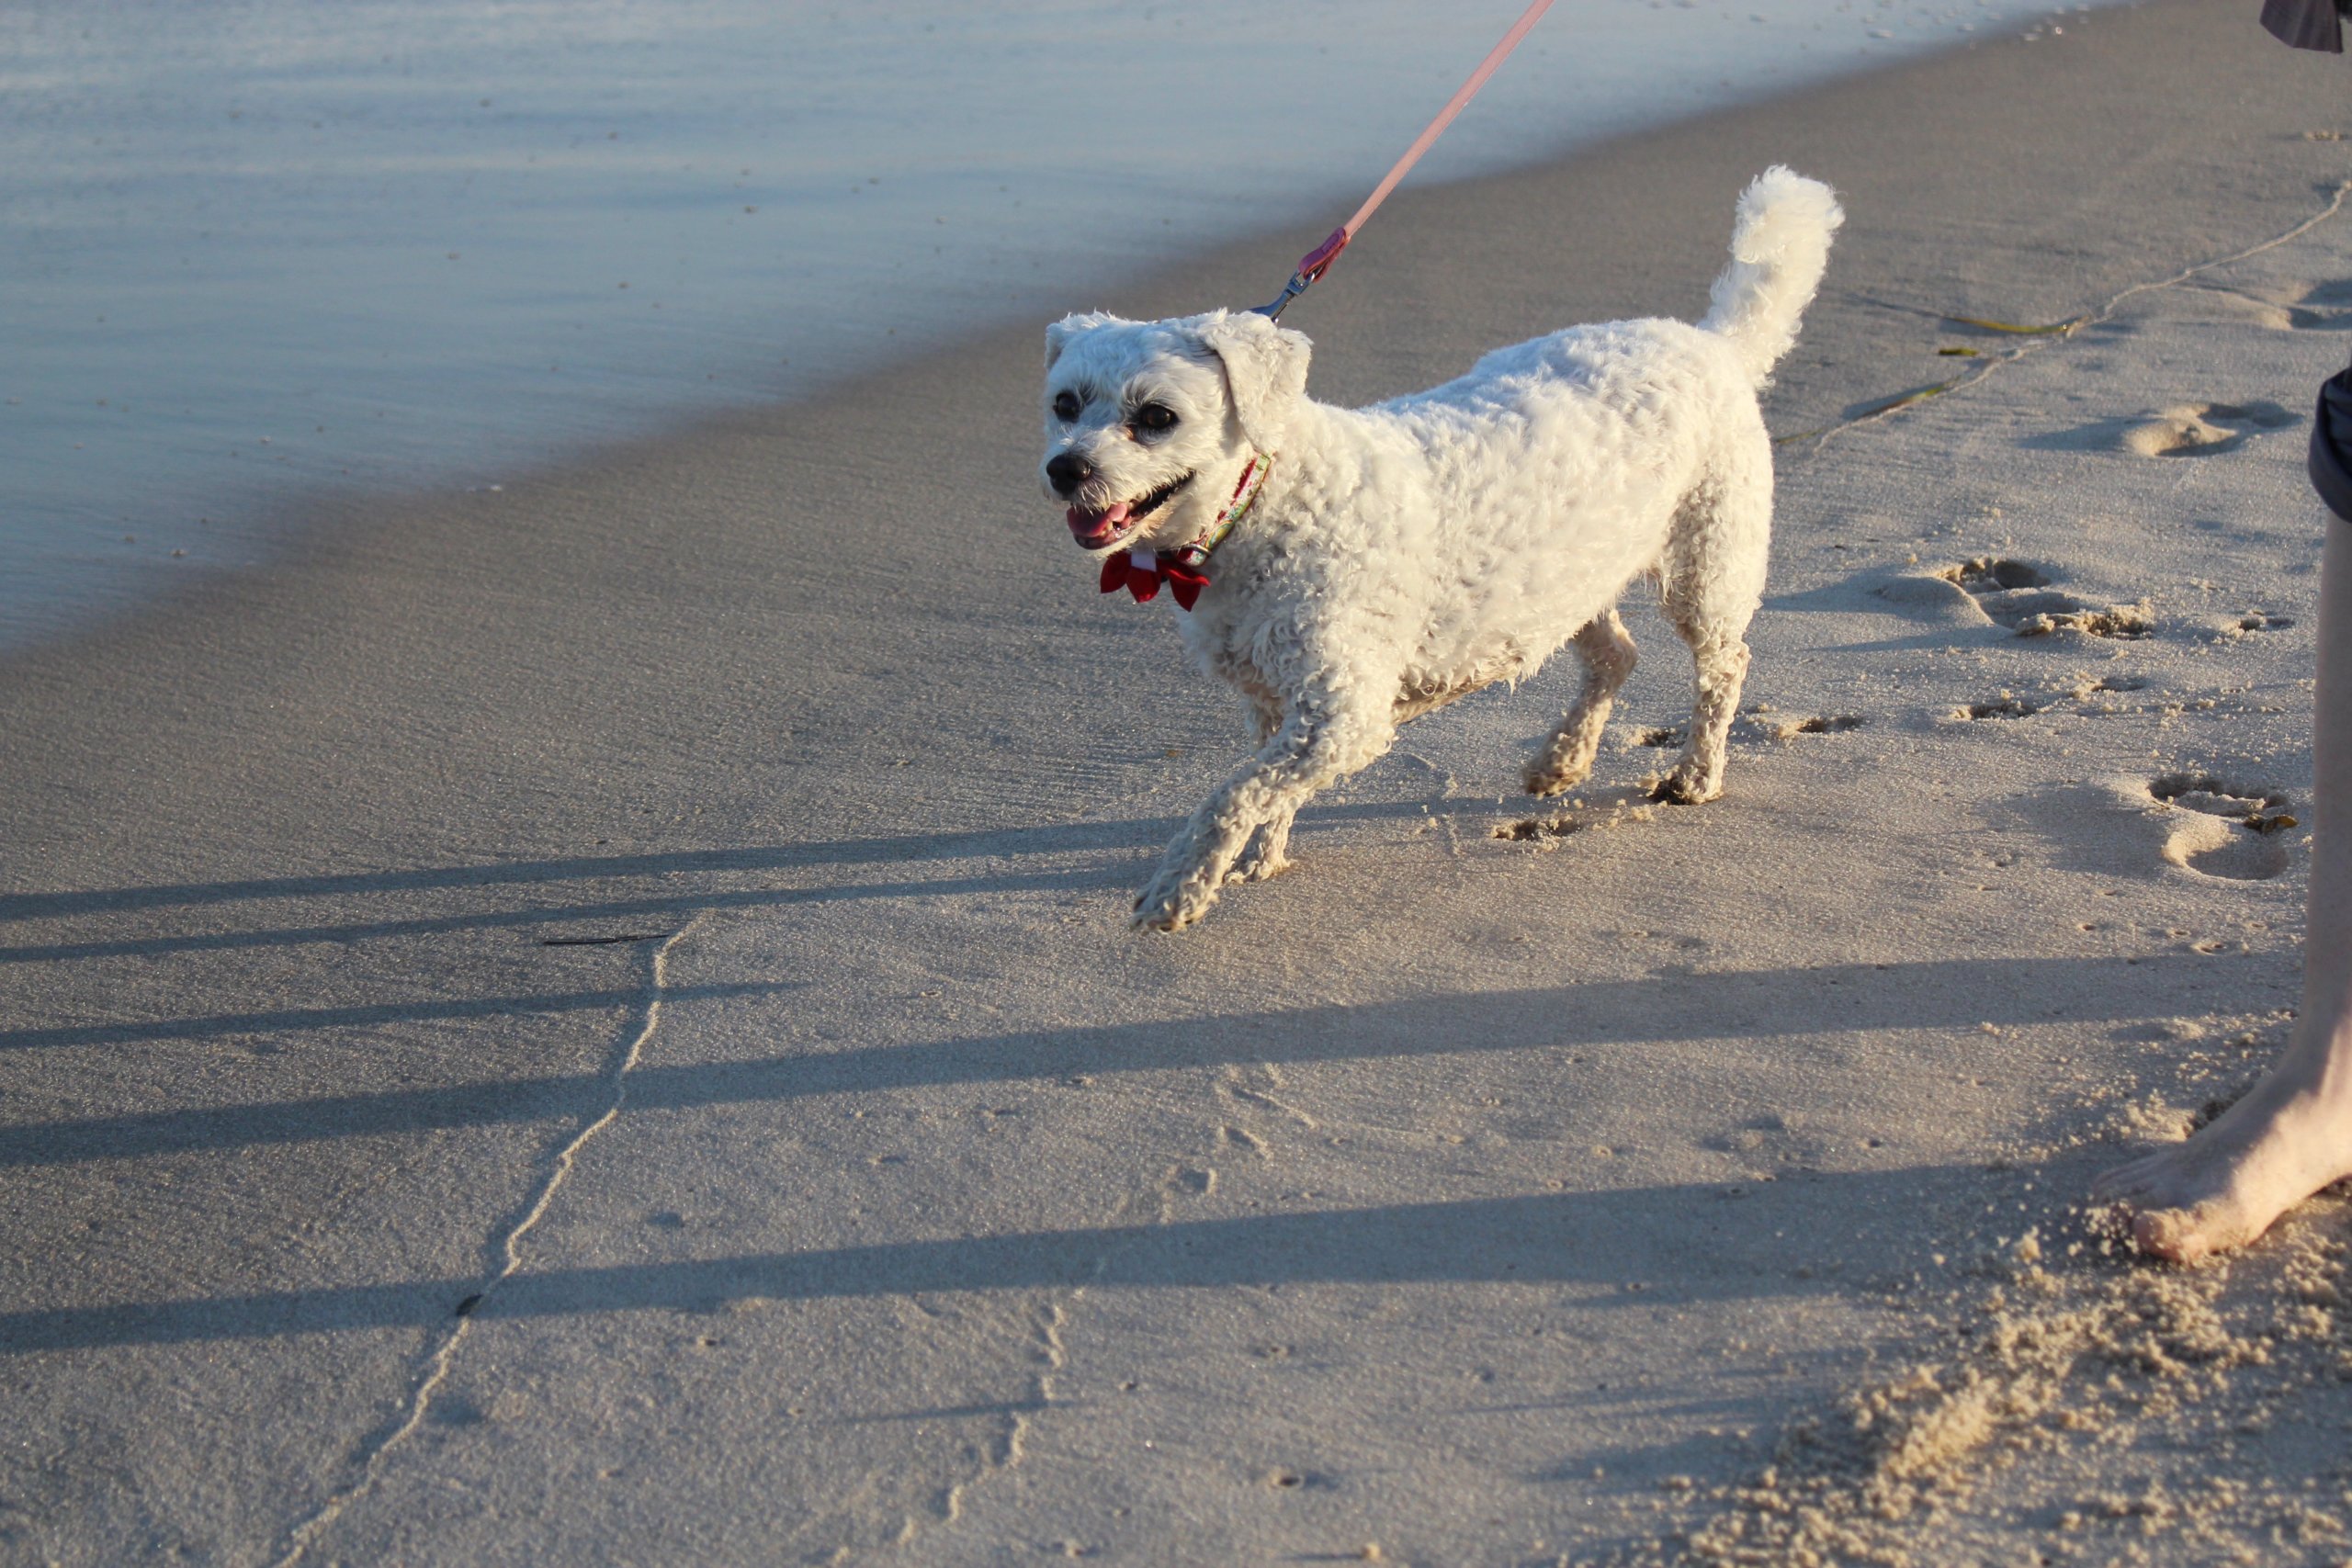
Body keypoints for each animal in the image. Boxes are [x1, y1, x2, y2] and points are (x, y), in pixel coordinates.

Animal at [1044, 171, 1834, 931]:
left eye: (1156, 417)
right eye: (1063, 404)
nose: (1065, 469)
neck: (1269, 497)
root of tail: (1712, 341)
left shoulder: (1342, 713)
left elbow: (1232, 794)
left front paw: (1177, 888)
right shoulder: (1274, 704)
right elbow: (1264, 789)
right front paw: (1261, 858)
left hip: (1707, 560)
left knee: (1725, 664)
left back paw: (1696, 774)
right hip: (1568, 574)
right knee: (1616, 654)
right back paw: (1561, 759)